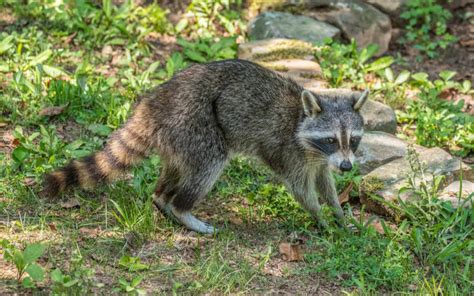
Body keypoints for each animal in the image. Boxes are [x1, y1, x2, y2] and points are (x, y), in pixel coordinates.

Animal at [42, 59, 368, 232]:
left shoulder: (319, 159)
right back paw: (182, 208)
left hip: (177, 138)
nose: (347, 166)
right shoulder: (288, 151)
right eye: (330, 139)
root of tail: (154, 105)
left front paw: (338, 212)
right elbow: (302, 190)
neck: (303, 121)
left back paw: (162, 198)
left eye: (352, 139)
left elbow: (325, 182)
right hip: (194, 122)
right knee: (208, 164)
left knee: (175, 169)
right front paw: (321, 217)